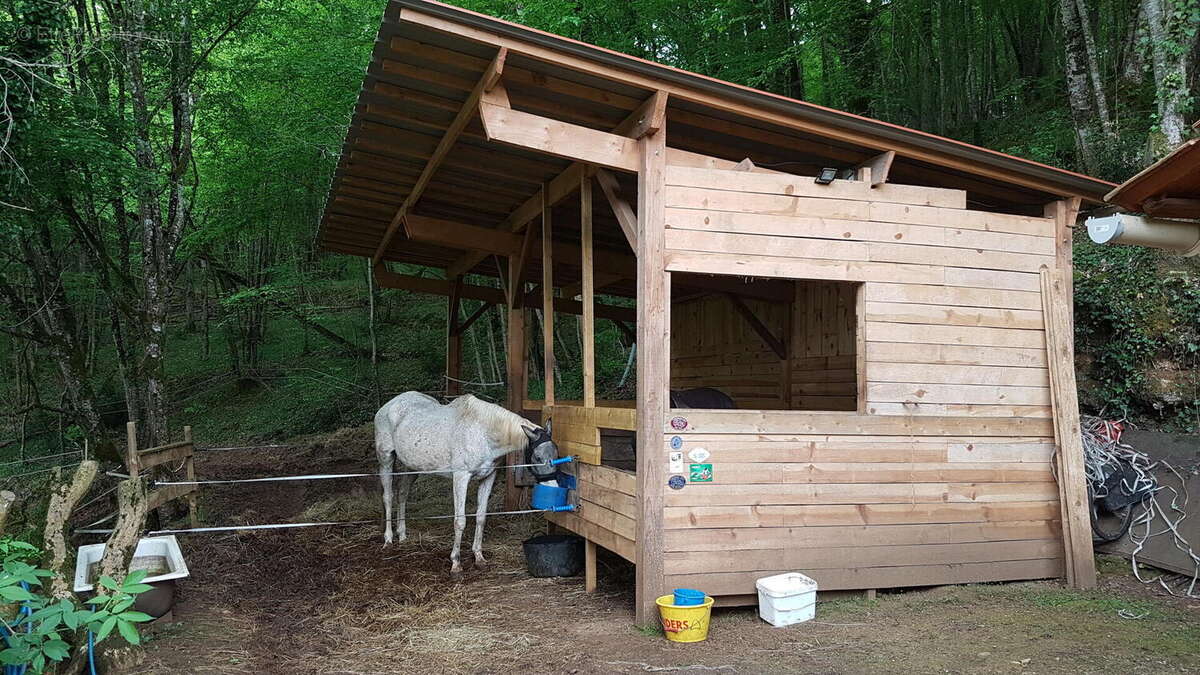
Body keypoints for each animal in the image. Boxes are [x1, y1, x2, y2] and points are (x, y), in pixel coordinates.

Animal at [375, 392, 558, 575]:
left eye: (557, 454)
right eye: (538, 457)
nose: (553, 487)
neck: (483, 432)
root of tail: (389, 405)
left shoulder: (488, 477)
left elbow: (481, 518)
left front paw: (479, 558)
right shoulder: (461, 477)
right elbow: (460, 521)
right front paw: (456, 564)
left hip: (412, 467)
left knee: (402, 493)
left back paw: (402, 536)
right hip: (386, 460)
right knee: (388, 497)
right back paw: (388, 540)